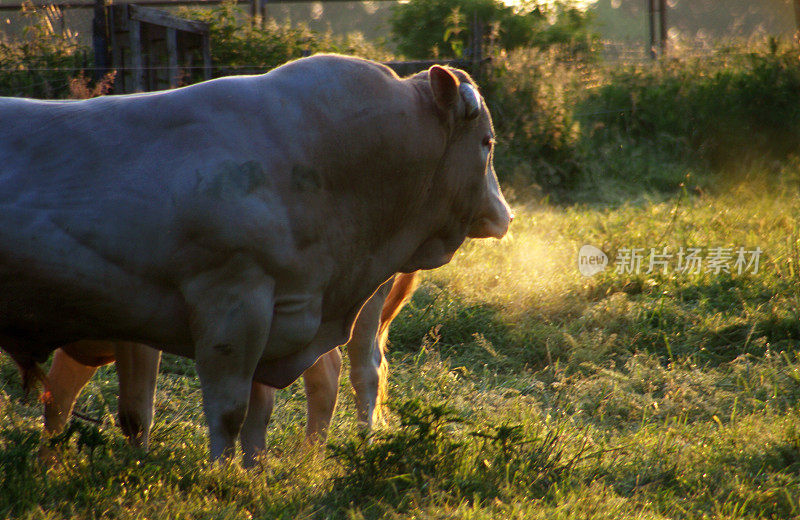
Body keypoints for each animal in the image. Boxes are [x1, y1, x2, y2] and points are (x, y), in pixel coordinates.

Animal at [0, 54, 510, 462]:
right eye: (487, 142)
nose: (505, 214)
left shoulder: (274, 310)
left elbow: (250, 414)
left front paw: (247, 473)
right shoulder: (231, 300)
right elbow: (220, 412)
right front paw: (221, 475)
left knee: (356, 372)